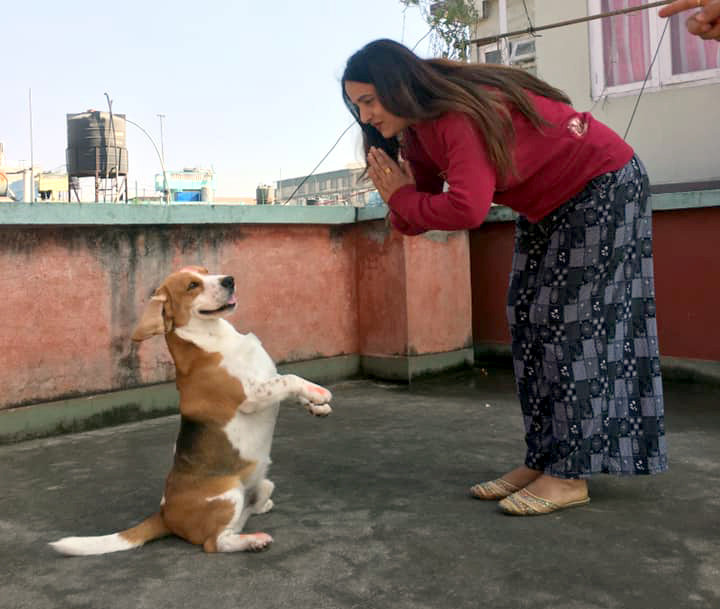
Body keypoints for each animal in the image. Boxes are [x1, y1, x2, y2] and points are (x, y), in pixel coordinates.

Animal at [50, 266, 332, 556]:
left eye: (206, 271)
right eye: (192, 285)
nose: (229, 280)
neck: (213, 336)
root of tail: (165, 514)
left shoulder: (267, 380)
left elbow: (288, 387)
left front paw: (317, 406)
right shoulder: (251, 396)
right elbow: (290, 379)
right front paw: (319, 392)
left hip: (263, 485)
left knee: (245, 513)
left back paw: (260, 510)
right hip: (229, 493)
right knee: (215, 542)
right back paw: (253, 541)